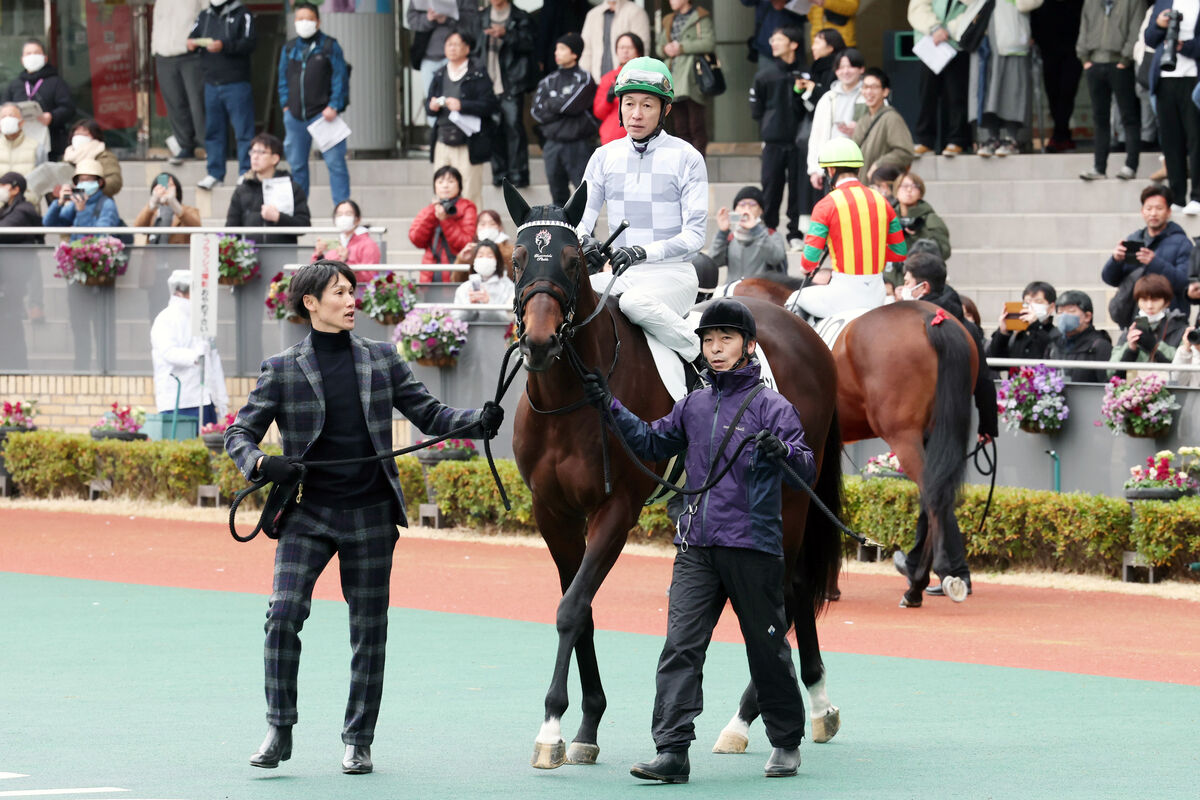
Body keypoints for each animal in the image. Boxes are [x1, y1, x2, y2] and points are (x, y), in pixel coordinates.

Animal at [506, 184, 844, 772]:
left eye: (572, 261)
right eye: (518, 258)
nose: (542, 341)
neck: (571, 401)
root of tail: (805, 329)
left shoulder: (615, 511)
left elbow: (571, 609)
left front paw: (551, 728)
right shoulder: (553, 513)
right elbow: (581, 608)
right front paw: (586, 726)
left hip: (791, 491)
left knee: (783, 588)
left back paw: (746, 718)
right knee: (797, 586)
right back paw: (817, 705)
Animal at [734, 275, 979, 606]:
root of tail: (933, 319)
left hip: (903, 435)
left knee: (933, 493)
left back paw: (918, 582)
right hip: (936, 433)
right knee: (940, 493)